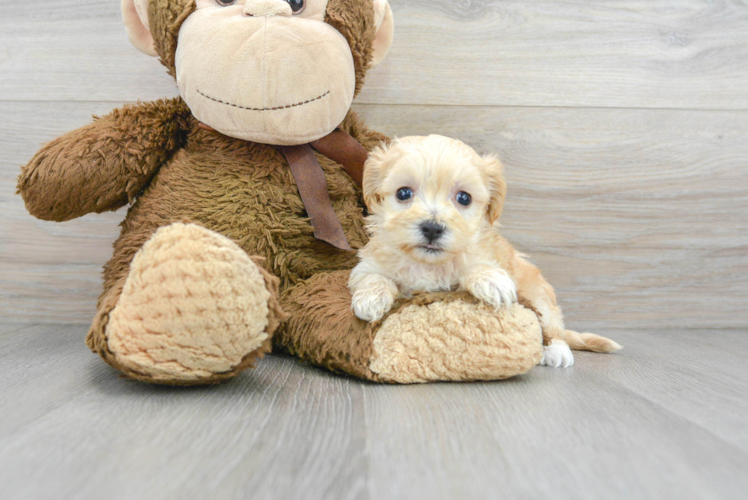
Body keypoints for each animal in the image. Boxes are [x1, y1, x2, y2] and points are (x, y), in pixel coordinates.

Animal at [350, 135, 620, 366]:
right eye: (403, 193)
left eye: (464, 198)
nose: (432, 228)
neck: (428, 264)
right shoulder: (369, 263)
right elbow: (373, 276)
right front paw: (371, 299)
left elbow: (476, 267)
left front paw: (492, 281)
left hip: (540, 297)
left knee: (552, 328)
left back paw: (556, 351)